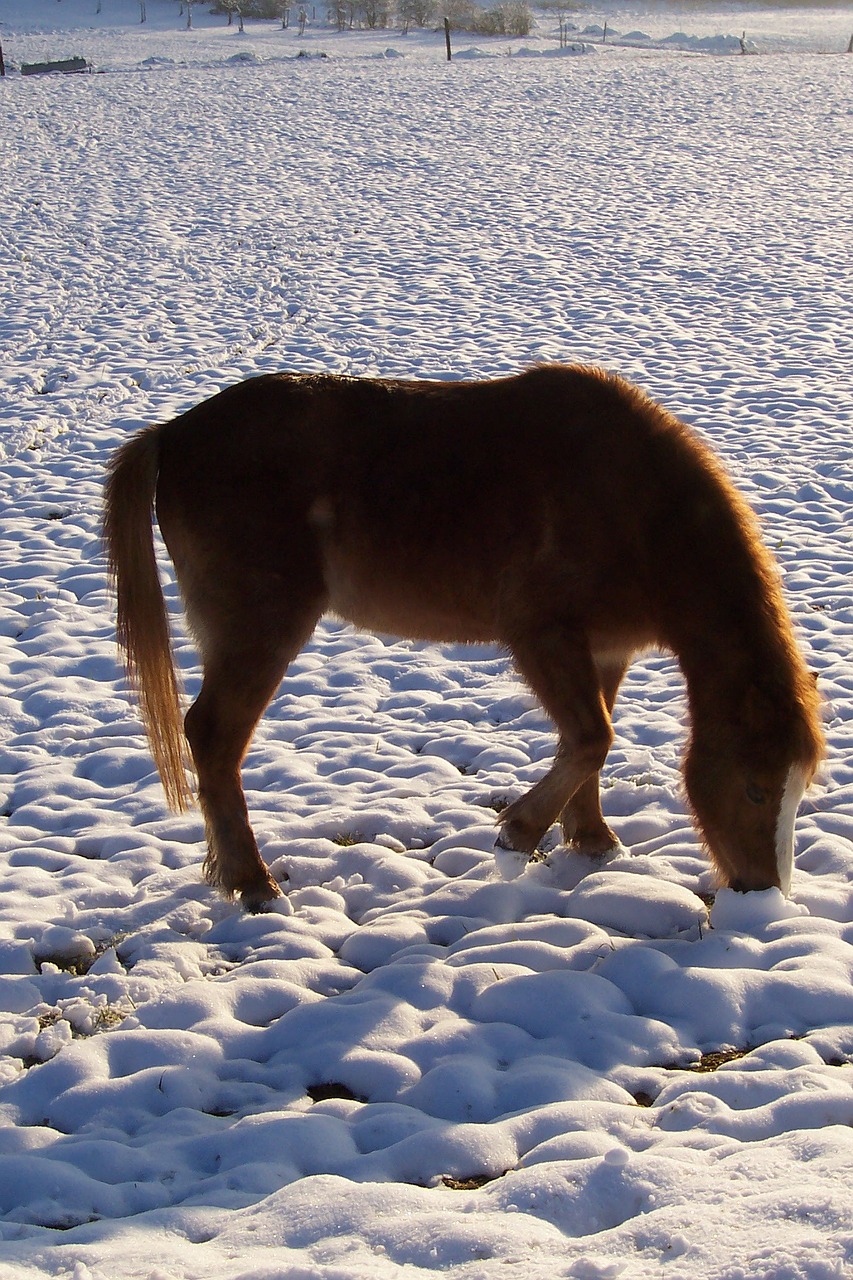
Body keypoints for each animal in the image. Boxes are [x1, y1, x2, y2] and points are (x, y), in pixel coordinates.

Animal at [103, 366, 819, 916]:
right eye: (755, 789)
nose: (761, 893)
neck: (632, 506)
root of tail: (173, 434)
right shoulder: (540, 634)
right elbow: (592, 737)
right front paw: (519, 832)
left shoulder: (604, 649)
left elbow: (593, 744)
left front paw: (591, 840)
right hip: (261, 632)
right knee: (213, 738)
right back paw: (253, 883)